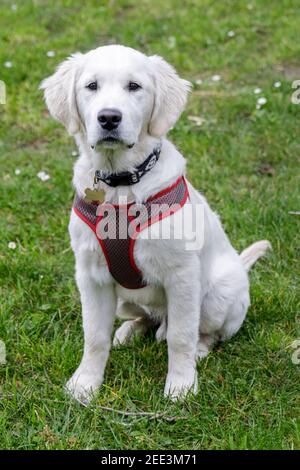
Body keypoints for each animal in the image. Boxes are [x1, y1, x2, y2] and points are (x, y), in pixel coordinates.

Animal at [41, 46, 270, 402]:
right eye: (91, 86)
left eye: (134, 86)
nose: (109, 118)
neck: (120, 184)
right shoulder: (90, 276)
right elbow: (94, 335)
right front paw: (85, 384)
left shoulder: (182, 276)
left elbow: (180, 336)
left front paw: (181, 385)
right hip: (124, 300)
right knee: (146, 318)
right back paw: (127, 331)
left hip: (218, 297)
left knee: (202, 331)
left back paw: (199, 349)